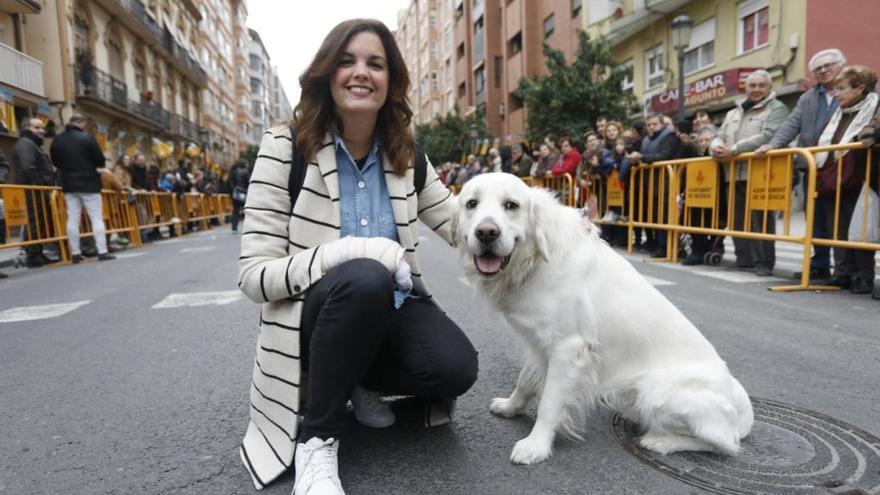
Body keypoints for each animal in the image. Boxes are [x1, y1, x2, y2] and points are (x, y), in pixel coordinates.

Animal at [458, 173, 752, 464]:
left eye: (511, 205)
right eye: (471, 203)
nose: (486, 232)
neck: (536, 261)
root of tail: (742, 406)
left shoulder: (568, 348)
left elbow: (549, 403)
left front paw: (536, 445)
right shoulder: (540, 344)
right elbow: (525, 380)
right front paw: (511, 407)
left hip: (656, 392)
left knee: (725, 444)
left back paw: (661, 442)